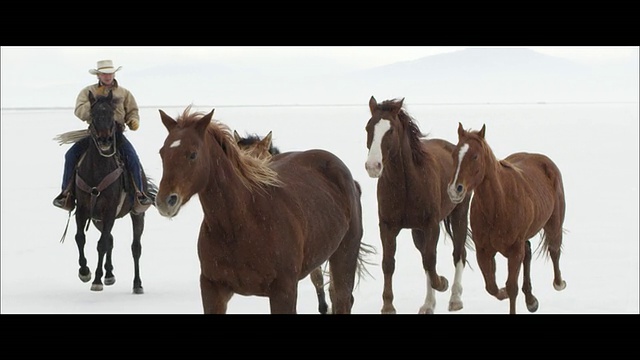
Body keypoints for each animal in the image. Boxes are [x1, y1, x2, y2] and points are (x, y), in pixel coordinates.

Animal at [364, 97, 470, 314]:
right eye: (368, 128)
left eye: (390, 131)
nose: (373, 166)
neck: (406, 184)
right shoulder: (387, 226)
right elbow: (389, 263)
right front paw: (388, 305)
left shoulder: (431, 225)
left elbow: (431, 261)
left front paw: (443, 283)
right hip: (417, 231)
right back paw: (428, 304)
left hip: (459, 215)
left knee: (458, 253)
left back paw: (455, 298)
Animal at [448, 122, 568, 314]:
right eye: (454, 155)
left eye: (475, 156)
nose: (455, 189)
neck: (498, 205)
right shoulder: (483, 251)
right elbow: (491, 286)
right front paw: (503, 292)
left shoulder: (514, 250)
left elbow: (512, 287)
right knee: (528, 252)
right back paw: (531, 300)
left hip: (553, 224)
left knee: (554, 249)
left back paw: (559, 283)